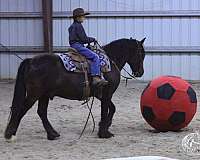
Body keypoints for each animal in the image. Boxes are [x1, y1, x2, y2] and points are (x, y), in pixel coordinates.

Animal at [4, 37, 145, 140]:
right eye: (141, 54)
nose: (140, 72)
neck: (110, 61)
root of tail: (31, 61)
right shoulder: (107, 93)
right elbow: (106, 110)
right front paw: (104, 132)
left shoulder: (100, 95)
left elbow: (112, 108)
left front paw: (104, 126)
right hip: (34, 94)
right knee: (22, 109)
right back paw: (10, 133)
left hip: (44, 95)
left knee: (41, 112)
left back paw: (52, 134)